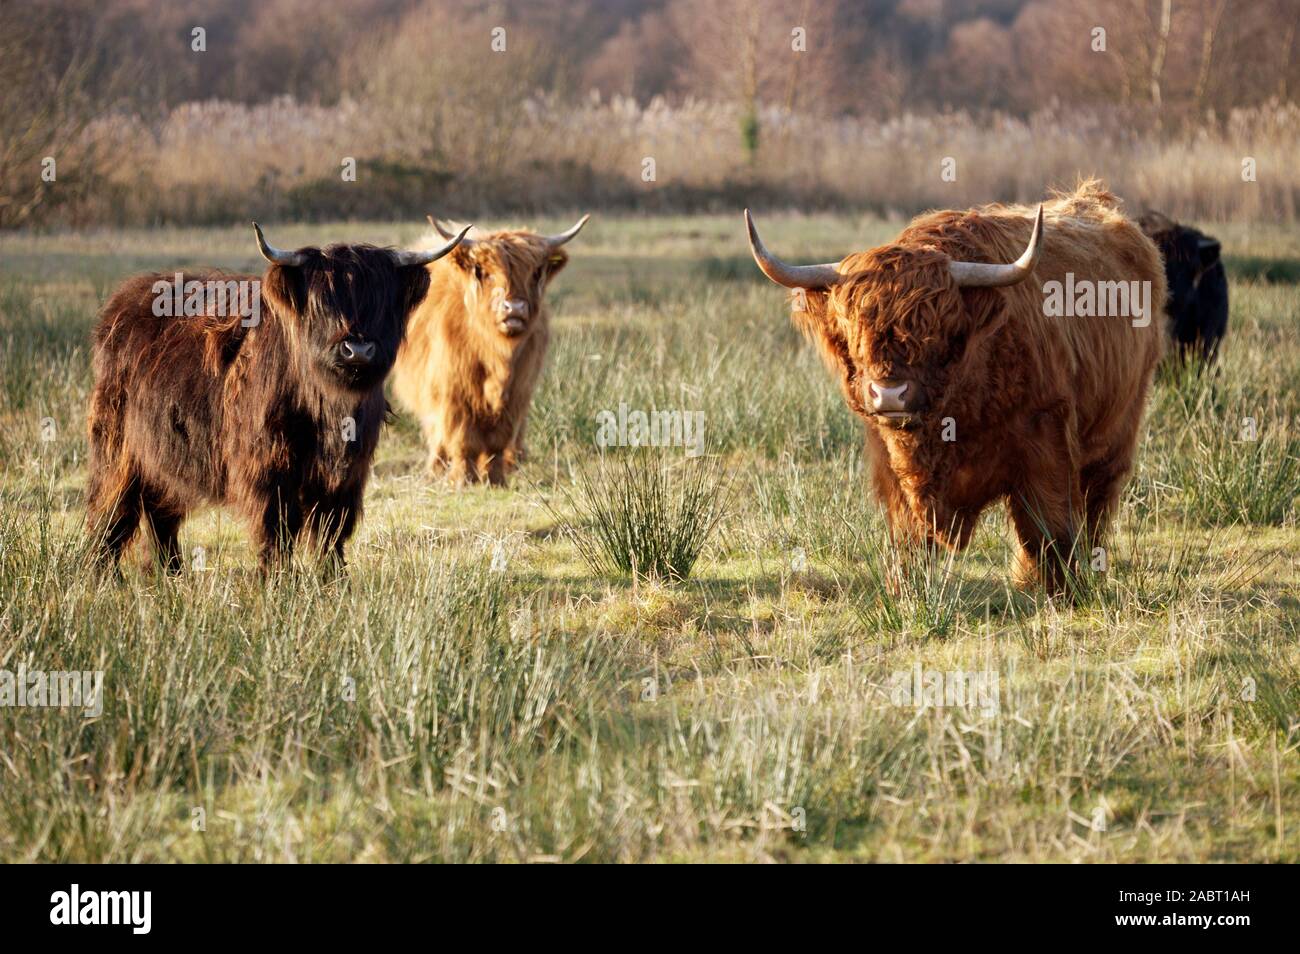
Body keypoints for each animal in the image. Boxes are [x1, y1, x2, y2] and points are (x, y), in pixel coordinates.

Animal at [85, 223, 468, 573]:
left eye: (382, 301)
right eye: (322, 302)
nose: (357, 350)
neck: (328, 408)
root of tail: (124, 301)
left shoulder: (347, 473)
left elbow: (331, 530)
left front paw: (334, 582)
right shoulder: (268, 464)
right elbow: (278, 528)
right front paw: (276, 581)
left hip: (164, 457)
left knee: (160, 514)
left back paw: (174, 575)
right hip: (118, 449)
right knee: (111, 511)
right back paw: (104, 577)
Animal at [391, 214, 589, 486]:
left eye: (537, 272)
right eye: (480, 270)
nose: (514, 308)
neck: (496, 356)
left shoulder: (518, 392)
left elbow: (498, 441)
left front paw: (495, 478)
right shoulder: (452, 391)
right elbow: (462, 437)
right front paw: (463, 479)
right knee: (436, 433)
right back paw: (436, 469)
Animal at [745, 181, 1165, 591]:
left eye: (938, 332)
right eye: (852, 330)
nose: (890, 394)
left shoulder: (1046, 439)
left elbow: (1050, 528)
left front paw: (1063, 592)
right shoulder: (889, 461)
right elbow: (909, 537)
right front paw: (906, 588)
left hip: (1117, 433)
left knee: (1096, 503)